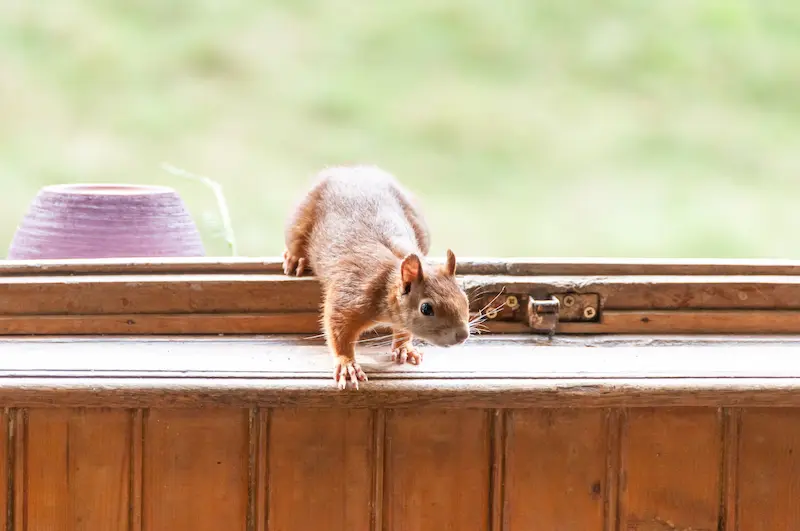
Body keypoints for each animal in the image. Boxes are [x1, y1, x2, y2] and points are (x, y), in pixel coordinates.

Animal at [283, 165, 470, 390]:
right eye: (426, 308)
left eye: (465, 298)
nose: (463, 335)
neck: (387, 279)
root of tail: (350, 170)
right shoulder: (351, 293)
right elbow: (337, 329)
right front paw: (347, 364)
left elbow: (403, 329)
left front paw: (404, 347)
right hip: (299, 219)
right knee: (296, 241)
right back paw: (296, 259)